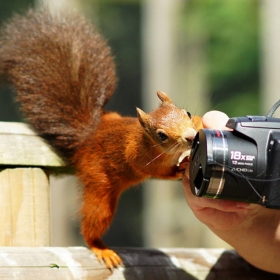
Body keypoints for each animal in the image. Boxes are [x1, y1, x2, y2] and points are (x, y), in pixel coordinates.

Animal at [0, 8, 202, 270]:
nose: (190, 136)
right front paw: (178, 170)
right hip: (99, 185)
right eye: (161, 136)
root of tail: (89, 135)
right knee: (94, 221)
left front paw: (201, 123)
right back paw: (100, 248)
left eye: (186, 112)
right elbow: (153, 171)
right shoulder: (139, 157)